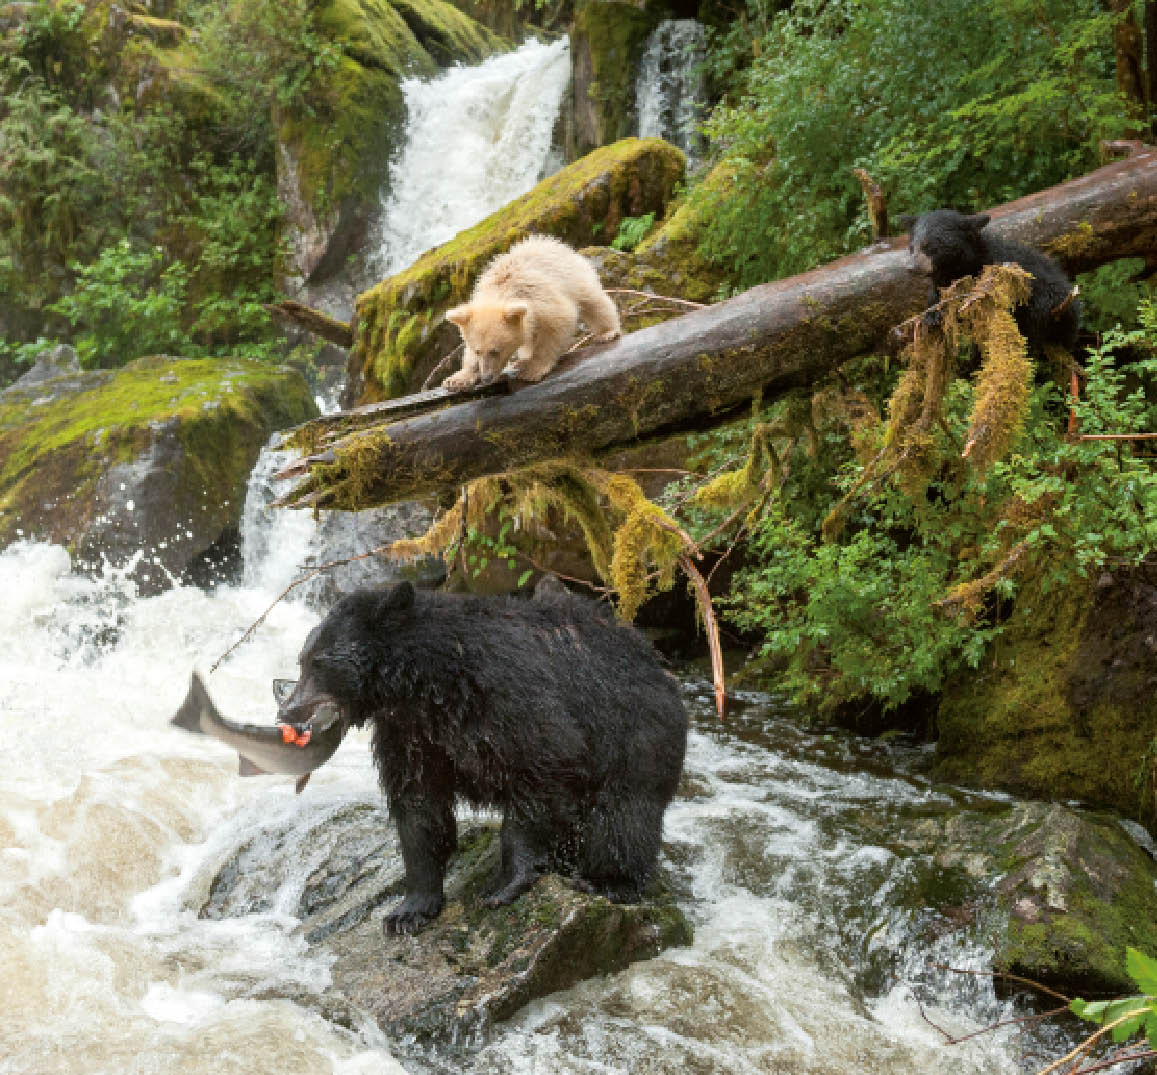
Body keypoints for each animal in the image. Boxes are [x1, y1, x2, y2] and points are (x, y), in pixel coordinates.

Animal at [277, 578, 684, 930]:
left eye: (319, 662)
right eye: (303, 659)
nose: (288, 711)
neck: (428, 684)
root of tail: (656, 661)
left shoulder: (508, 701)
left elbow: (541, 771)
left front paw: (505, 885)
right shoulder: (412, 733)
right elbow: (419, 807)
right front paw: (409, 909)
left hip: (634, 735)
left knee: (623, 816)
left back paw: (608, 881)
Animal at [907, 211, 1078, 354]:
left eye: (929, 246)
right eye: (912, 247)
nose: (911, 268)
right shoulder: (942, 282)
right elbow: (936, 296)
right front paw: (932, 315)